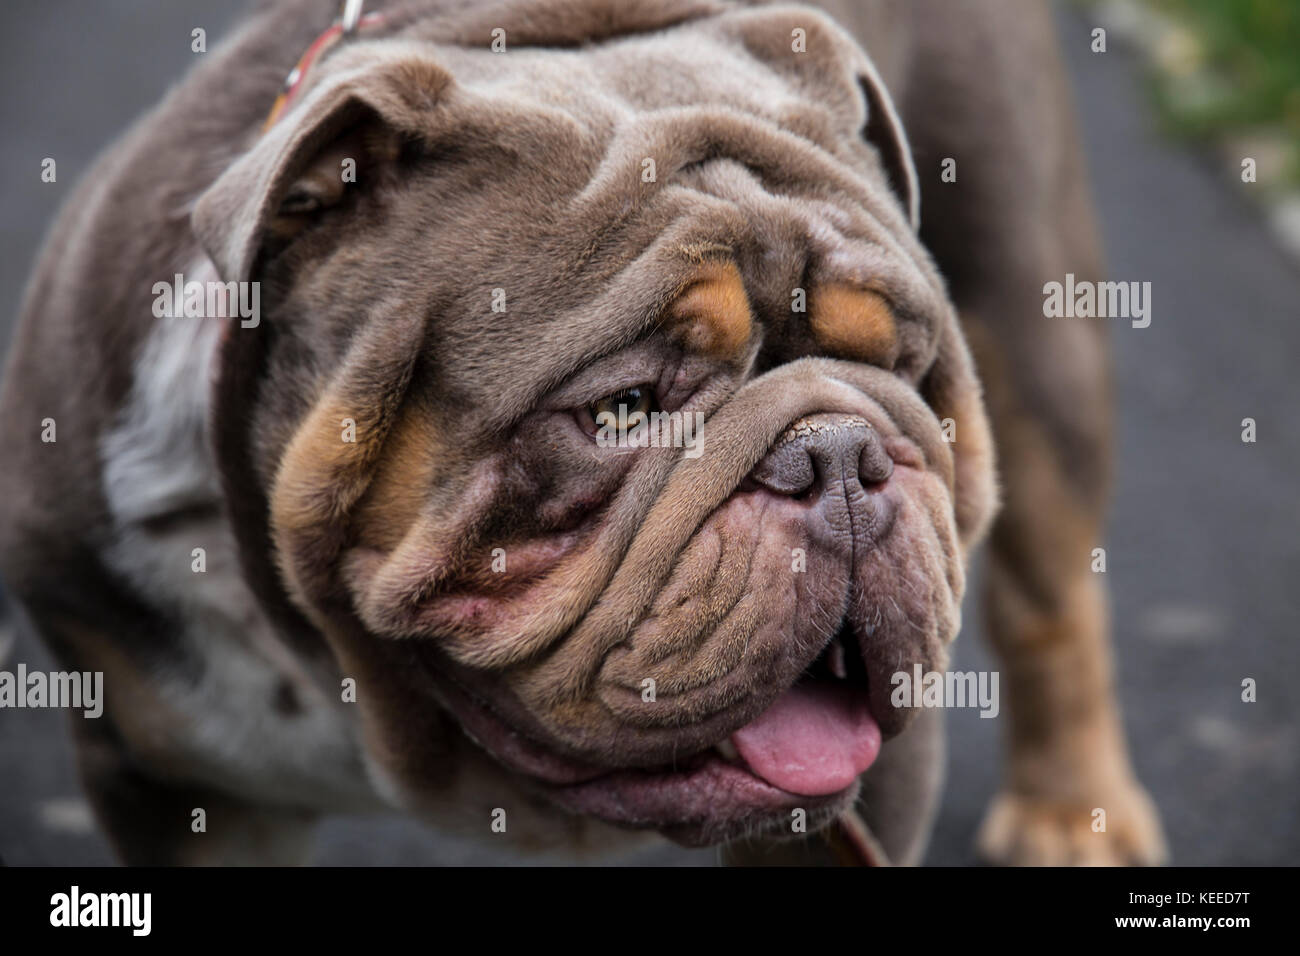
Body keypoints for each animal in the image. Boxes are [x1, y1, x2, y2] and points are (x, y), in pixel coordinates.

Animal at [0, 0, 1170, 868]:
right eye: (623, 410)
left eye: (904, 373)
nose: (840, 450)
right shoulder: (165, 783)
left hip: (1033, 316)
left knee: (1054, 598)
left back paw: (1075, 814)